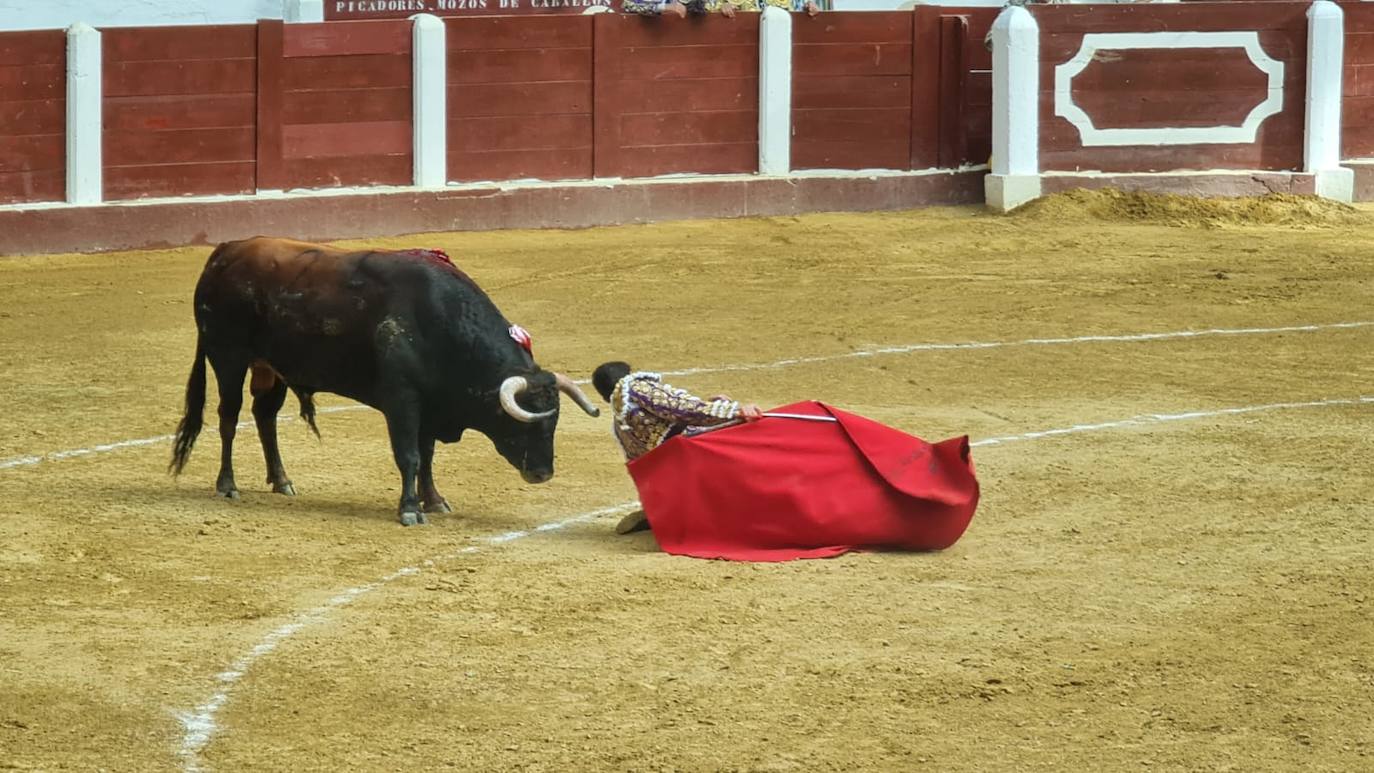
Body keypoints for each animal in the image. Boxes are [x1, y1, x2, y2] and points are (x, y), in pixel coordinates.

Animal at [169, 236, 599, 527]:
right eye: (523, 422)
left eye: (554, 423)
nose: (542, 473)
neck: (438, 321)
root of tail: (225, 252)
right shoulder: (402, 400)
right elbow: (409, 455)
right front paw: (409, 509)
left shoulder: (430, 406)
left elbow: (427, 455)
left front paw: (433, 500)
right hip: (228, 357)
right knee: (229, 416)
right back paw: (228, 485)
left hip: (270, 367)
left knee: (264, 415)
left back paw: (281, 480)